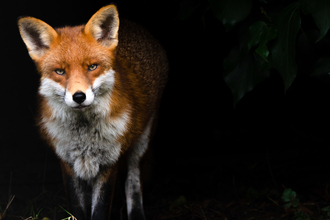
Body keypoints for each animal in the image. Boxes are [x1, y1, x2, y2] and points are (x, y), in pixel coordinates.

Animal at [17, 4, 168, 219]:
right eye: (60, 71)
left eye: (92, 67)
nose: (79, 96)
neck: (84, 136)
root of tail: (133, 25)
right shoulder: (67, 162)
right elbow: (78, 208)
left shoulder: (109, 162)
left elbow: (100, 210)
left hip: (142, 140)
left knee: (133, 180)